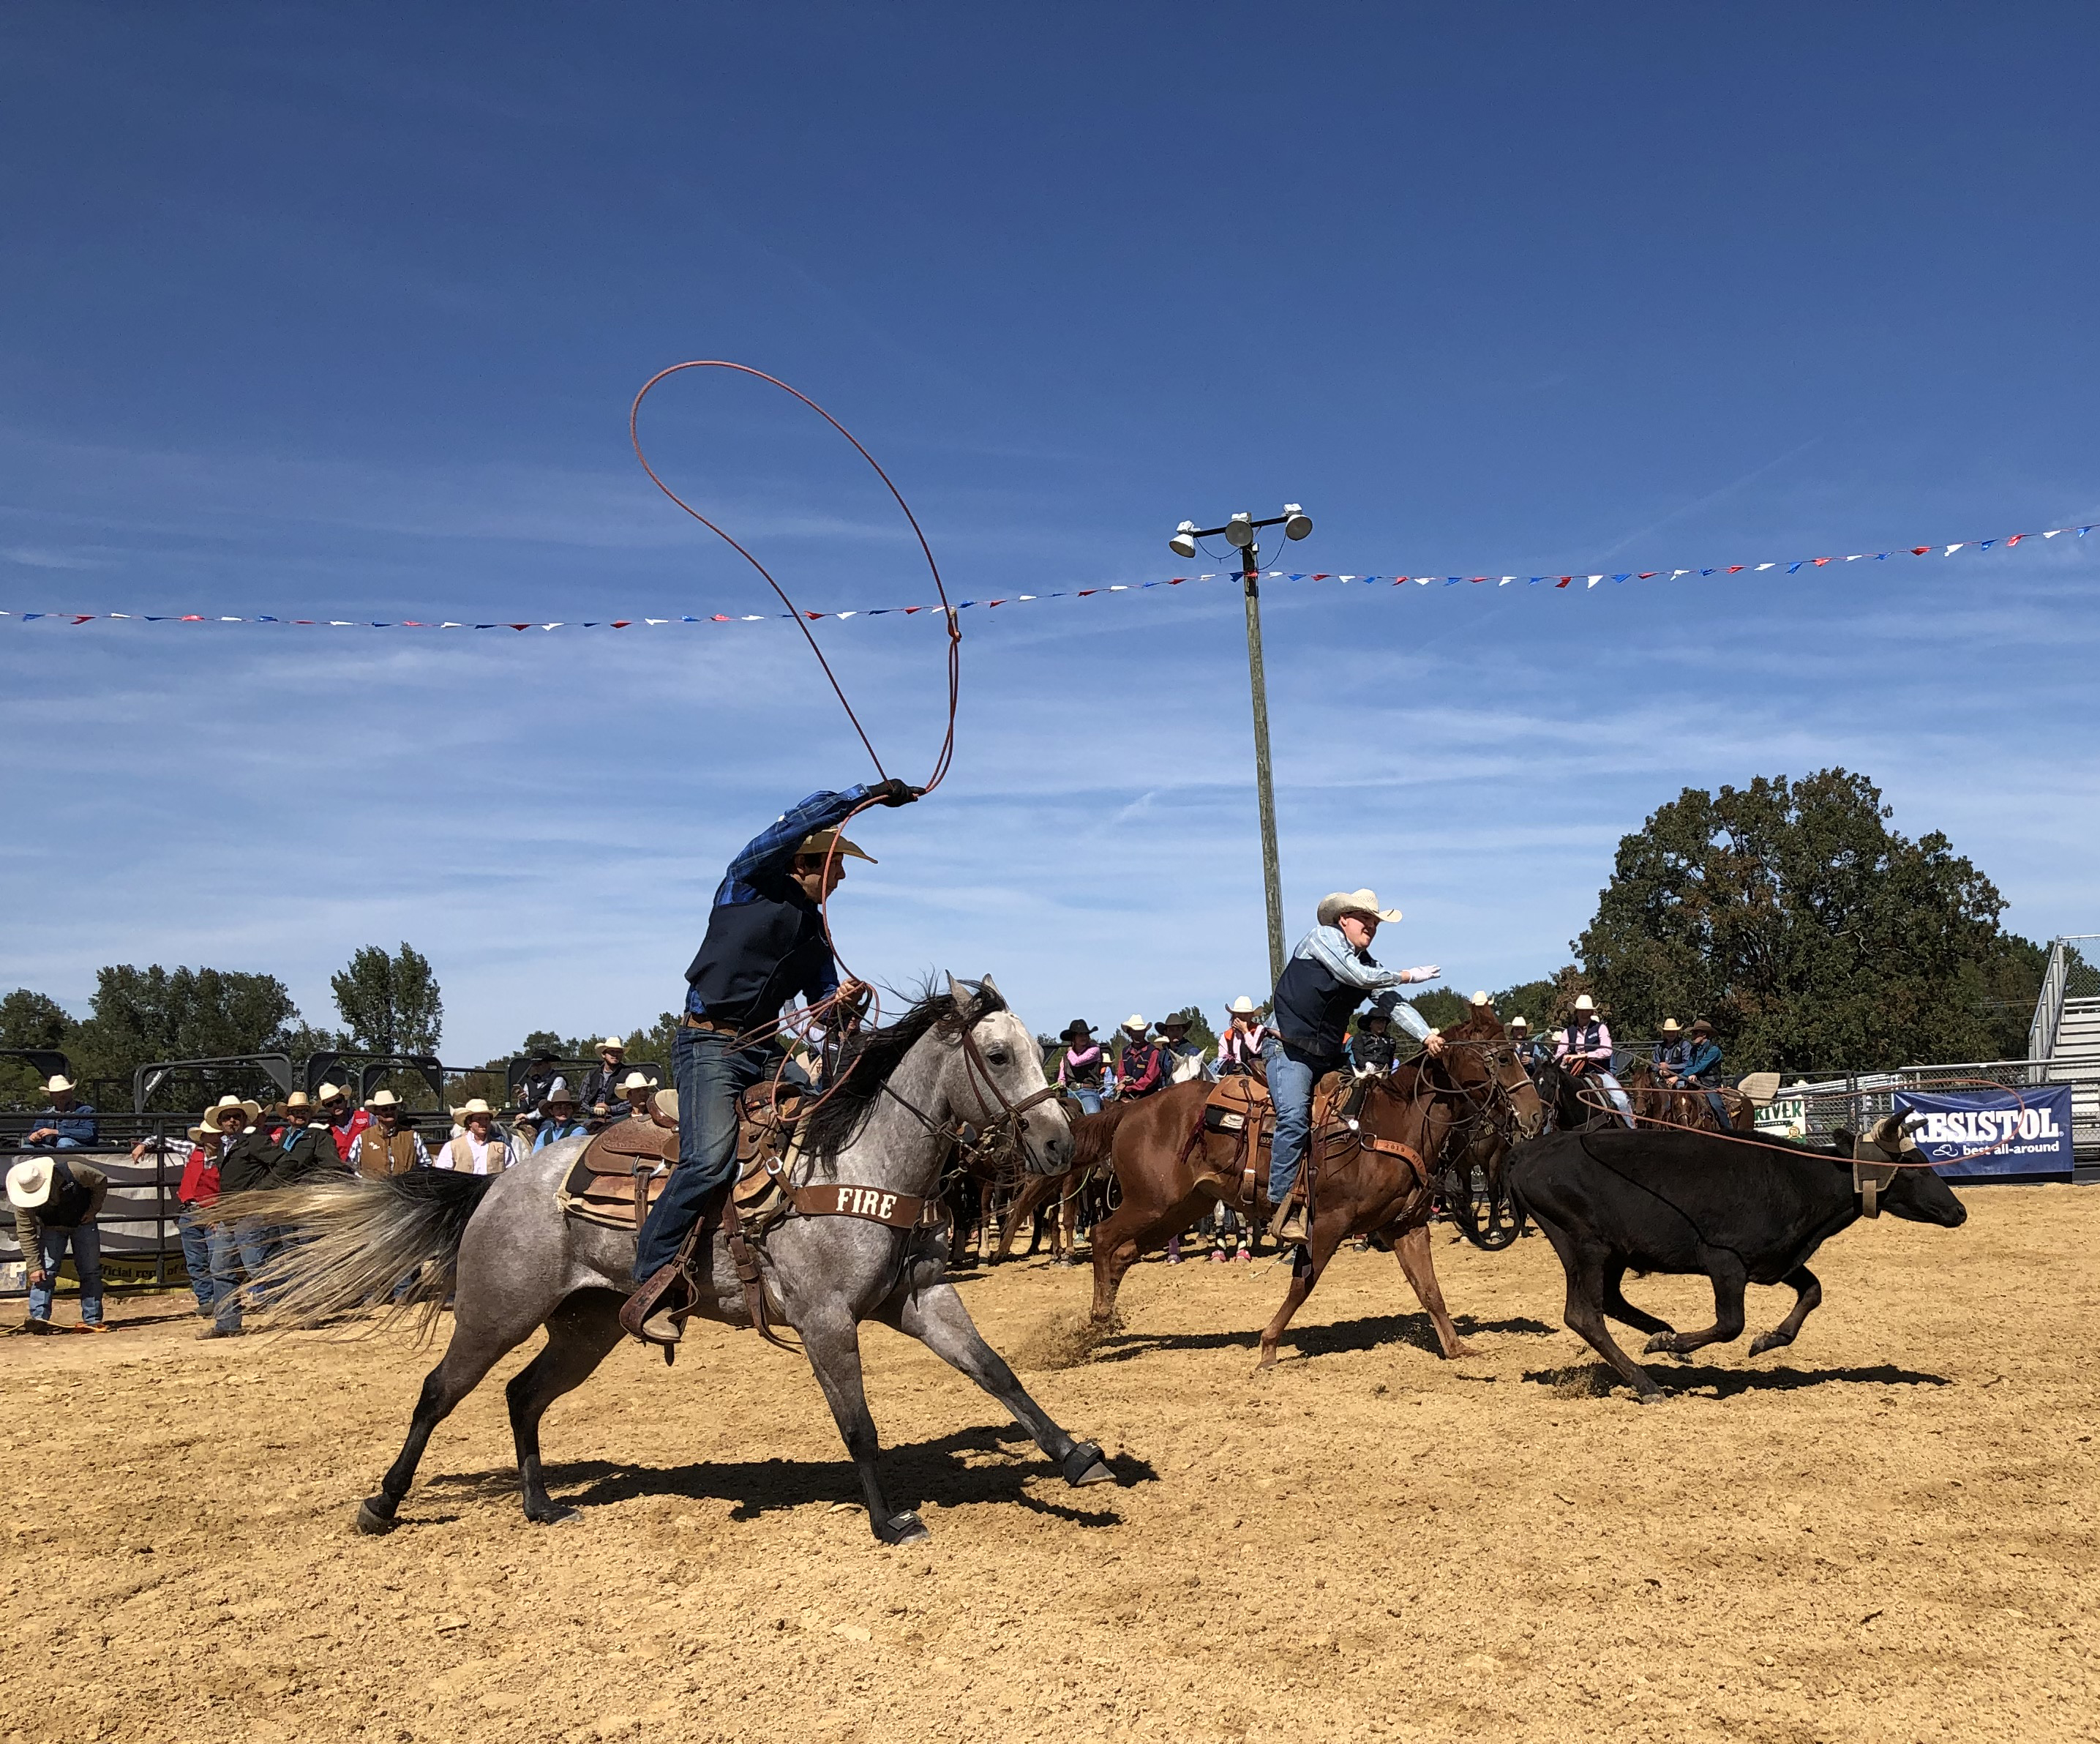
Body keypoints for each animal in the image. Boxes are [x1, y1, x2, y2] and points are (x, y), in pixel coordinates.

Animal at [243, 975, 1117, 1546]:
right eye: (997, 1055)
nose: (1058, 1144)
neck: (854, 1162)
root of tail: (498, 1185)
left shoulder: (922, 1297)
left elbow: (997, 1371)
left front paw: (1079, 1458)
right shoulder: (826, 1320)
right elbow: (858, 1423)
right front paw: (889, 1520)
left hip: (586, 1326)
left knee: (523, 1395)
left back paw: (542, 1505)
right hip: (496, 1311)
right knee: (437, 1393)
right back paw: (382, 1506)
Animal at [1083, 1025, 1545, 1378]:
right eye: (1504, 1058)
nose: (1537, 1114)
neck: (1389, 1121)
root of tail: (1131, 1111)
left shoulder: (1405, 1226)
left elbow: (1429, 1289)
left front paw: (1456, 1347)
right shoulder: (1328, 1224)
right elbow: (1302, 1286)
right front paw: (1268, 1347)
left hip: (1181, 1207)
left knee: (1122, 1252)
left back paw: (1103, 1322)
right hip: (1152, 1203)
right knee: (1102, 1235)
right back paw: (1095, 1322)